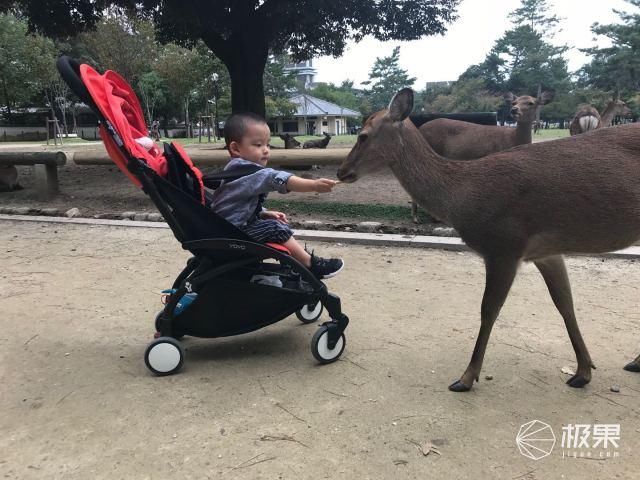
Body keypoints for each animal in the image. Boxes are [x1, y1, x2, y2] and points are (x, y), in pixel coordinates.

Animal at [410, 91, 556, 222]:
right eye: (514, 102)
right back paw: (418, 218)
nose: (514, 110)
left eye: (531, 102)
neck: (513, 140)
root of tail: (419, 129)